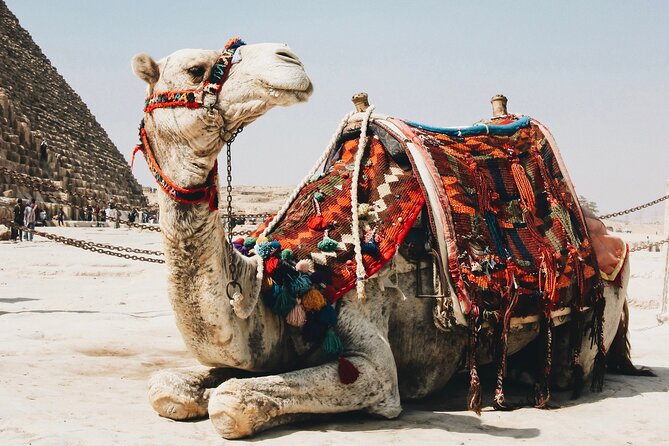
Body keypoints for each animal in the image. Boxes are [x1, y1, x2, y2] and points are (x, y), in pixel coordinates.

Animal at [131, 40, 640, 439]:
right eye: (196, 69)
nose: (287, 57)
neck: (287, 280)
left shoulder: (376, 365)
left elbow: (231, 402)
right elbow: (167, 388)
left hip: (599, 311)